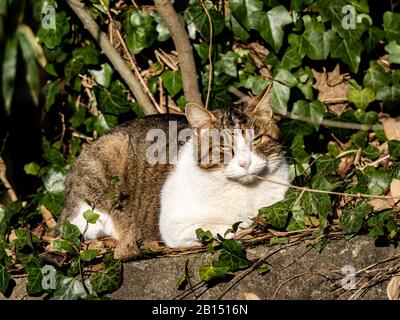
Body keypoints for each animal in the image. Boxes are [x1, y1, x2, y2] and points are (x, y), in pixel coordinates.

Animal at [57, 88, 288, 260]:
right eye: (223, 147)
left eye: (257, 139)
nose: (245, 163)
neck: (247, 192)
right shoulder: (174, 225)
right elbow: (223, 227)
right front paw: (243, 225)